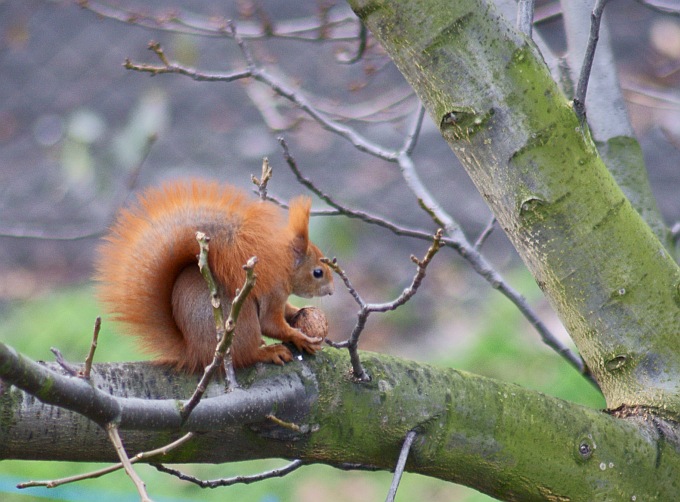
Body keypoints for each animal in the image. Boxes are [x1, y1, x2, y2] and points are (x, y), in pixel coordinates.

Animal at [97, 180, 336, 372]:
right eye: (318, 272)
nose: (332, 291)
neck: (281, 265)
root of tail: (195, 354)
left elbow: (285, 311)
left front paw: (299, 313)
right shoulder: (272, 290)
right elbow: (271, 324)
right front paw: (301, 337)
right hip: (243, 322)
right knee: (245, 355)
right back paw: (268, 352)